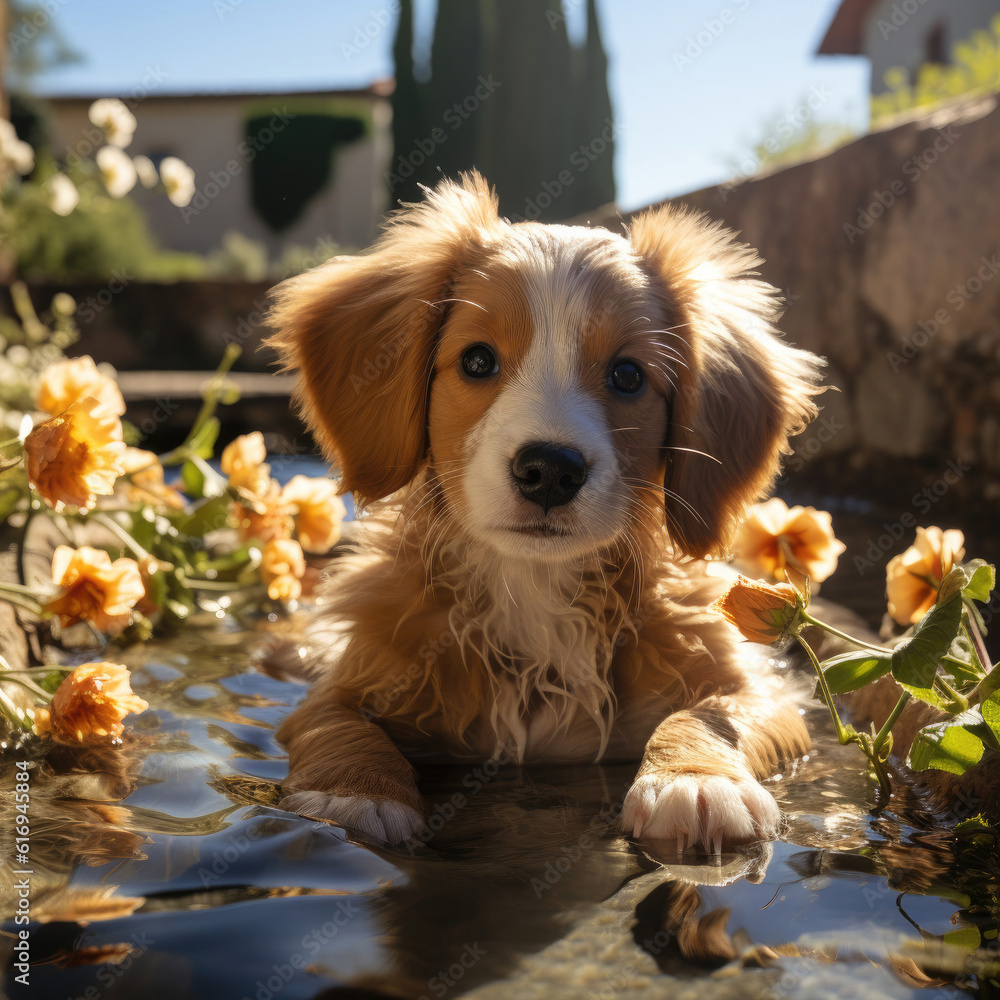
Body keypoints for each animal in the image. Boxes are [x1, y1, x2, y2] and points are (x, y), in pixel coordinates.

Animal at [270, 170, 824, 852]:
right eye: (477, 360)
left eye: (628, 376)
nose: (551, 470)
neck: (533, 592)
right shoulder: (345, 680)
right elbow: (337, 723)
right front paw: (353, 791)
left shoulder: (766, 690)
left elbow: (714, 711)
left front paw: (694, 779)